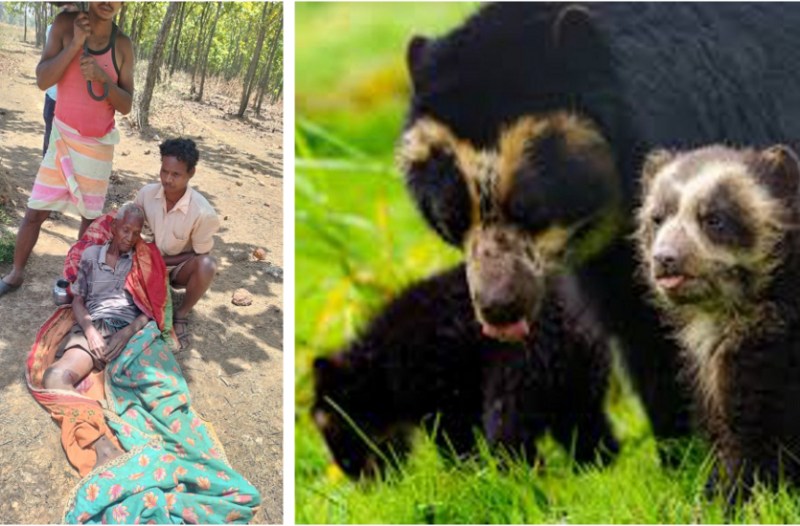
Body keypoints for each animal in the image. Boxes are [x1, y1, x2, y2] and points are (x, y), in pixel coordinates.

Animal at [312, 264, 618, 479]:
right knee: (599, 445)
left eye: (329, 422)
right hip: (580, 397)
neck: (383, 368)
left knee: (516, 452)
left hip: (515, 391)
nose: (349, 471)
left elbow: (458, 452)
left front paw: (466, 481)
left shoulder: (446, 407)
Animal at [397, 3, 800, 456]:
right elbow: (641, 327)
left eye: (531, 209)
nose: (499, 309)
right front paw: (680, 455)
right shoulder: (613, 255)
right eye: (449, 219)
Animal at [635, 144, 800, 500]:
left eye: (714, 219)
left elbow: (757, 437)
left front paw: (735, 499)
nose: (665, 259)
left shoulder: (772, 357)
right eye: (657, 218)